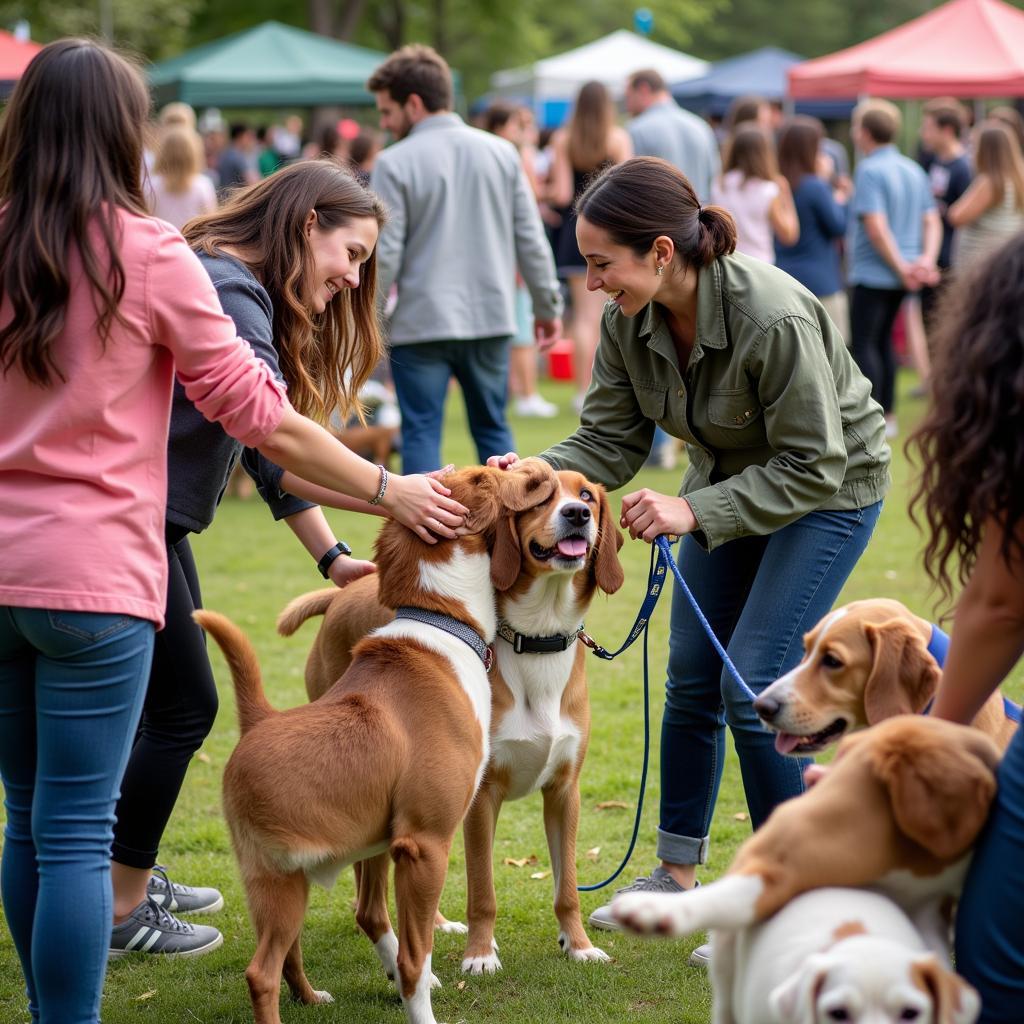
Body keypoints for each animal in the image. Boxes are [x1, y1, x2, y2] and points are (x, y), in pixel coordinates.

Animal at [192, 462, 561, 1024]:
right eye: (483, 477)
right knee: (261, 973)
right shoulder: (424, 845)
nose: (538, 469)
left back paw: (309, 996)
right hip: (287, 880)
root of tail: (258, 721)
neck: (442, 622)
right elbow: (414, 961)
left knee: (287, 954)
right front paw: (421, 1007)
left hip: (278, 881)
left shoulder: (392, 843)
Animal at [278, 464, 622, 966]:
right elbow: (483, 890)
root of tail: (343, 594)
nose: (576, 513)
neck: (537, 637)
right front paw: (480, 955)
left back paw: (436, 923)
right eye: (541, 499)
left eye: (587, 496)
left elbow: (568, 889)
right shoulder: (482, 796)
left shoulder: (564, 792)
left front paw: (578, 945)